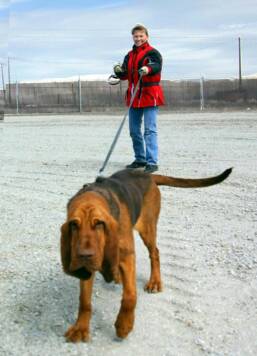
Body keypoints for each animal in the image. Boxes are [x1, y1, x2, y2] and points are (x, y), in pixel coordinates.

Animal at [60, 168, 230, 340]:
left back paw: (154, 282)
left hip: (148, 228)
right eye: (73, 225)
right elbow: (84, 301)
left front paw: (124, 325)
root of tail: (146, 174)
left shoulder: (128, 256)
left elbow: (130, 296)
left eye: (99, 223)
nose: (84, 255)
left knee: (155, 253)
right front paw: (80, 328)